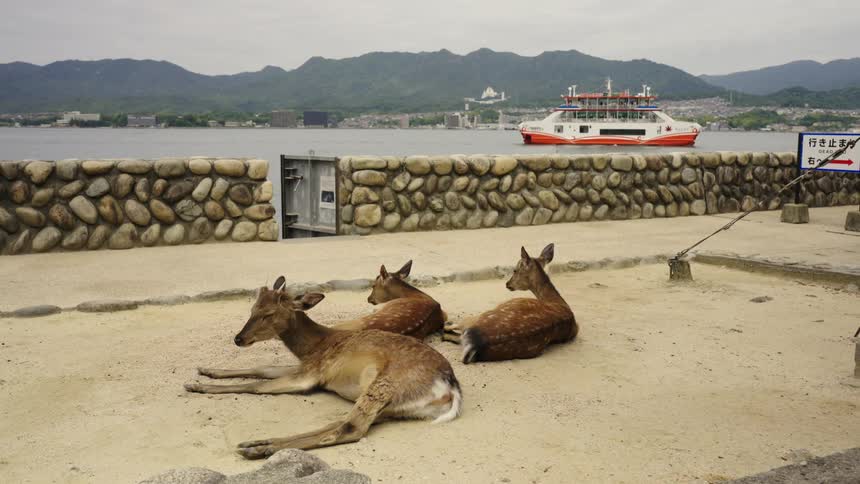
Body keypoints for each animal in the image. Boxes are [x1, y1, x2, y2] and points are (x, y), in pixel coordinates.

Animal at [184, 276, 462, 459]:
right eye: (252, 308)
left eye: (269, 313)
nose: (238, 339)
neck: (314, 345)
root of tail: (450, 388)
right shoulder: (305, 366)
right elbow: (263, 368)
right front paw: (204, 371)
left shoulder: (310, 374)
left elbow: (258, 384)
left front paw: (197, 386)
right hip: (393, 407)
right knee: (341, 422)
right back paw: (256, 443)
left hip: (383, 385)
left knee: (350, 428)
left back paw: (259, 449)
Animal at [443, 243, 578, 363]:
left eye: (515, 270)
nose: (507, 284)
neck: (556, 301)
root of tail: (477, 342)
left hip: (478, 317)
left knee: (447, 330)